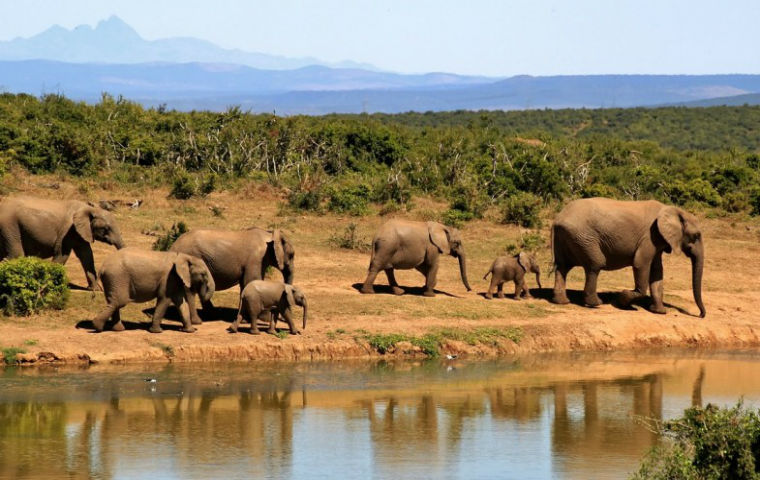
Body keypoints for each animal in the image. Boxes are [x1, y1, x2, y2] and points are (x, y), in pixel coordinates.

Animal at [551, 197, 706, 317]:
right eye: (696, 235)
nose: (700, 315)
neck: (673, 210)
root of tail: (557, 219)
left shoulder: (657, 240)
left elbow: (657, 271)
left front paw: (660, 312)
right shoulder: (649, 237)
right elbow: (641, 264)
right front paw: (623, 301)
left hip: (568, 237)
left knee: (563, 266)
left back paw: (562, 301)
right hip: (584, 237)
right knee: (595, 264)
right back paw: (596, 303)